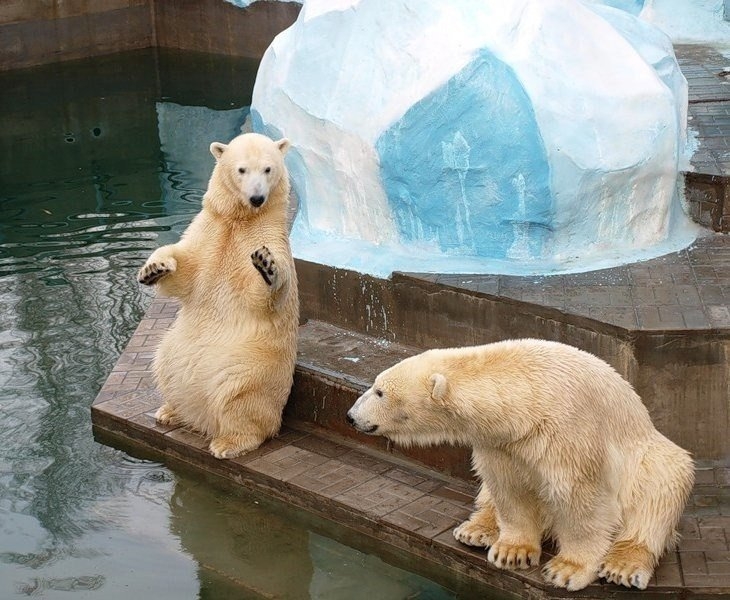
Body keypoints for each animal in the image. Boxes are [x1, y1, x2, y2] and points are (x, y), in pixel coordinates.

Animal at [138, 132, 298, 460]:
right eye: (241, 169)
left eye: (268, 169)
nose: (257, 198)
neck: (241, 219)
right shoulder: (209, 229)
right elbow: (185, 267)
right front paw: (154, 269)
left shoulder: (269, 235)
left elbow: (264, 294)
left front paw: (266, 265)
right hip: (173, 349)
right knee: (163, 364)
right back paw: (170, 411)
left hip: (252, 364)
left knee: (240, 397)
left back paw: (228, 442)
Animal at [346, 338, 692, 592]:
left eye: (379, 391)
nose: (350, 416)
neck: (527, 402)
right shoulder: (501, 444)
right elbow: (508, 489)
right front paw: (513, 551)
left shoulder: (570, 433)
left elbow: (580, 500)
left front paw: (566, 570)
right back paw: (477, 529)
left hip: (650, 460)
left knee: (658, 493)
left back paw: (624, 565)